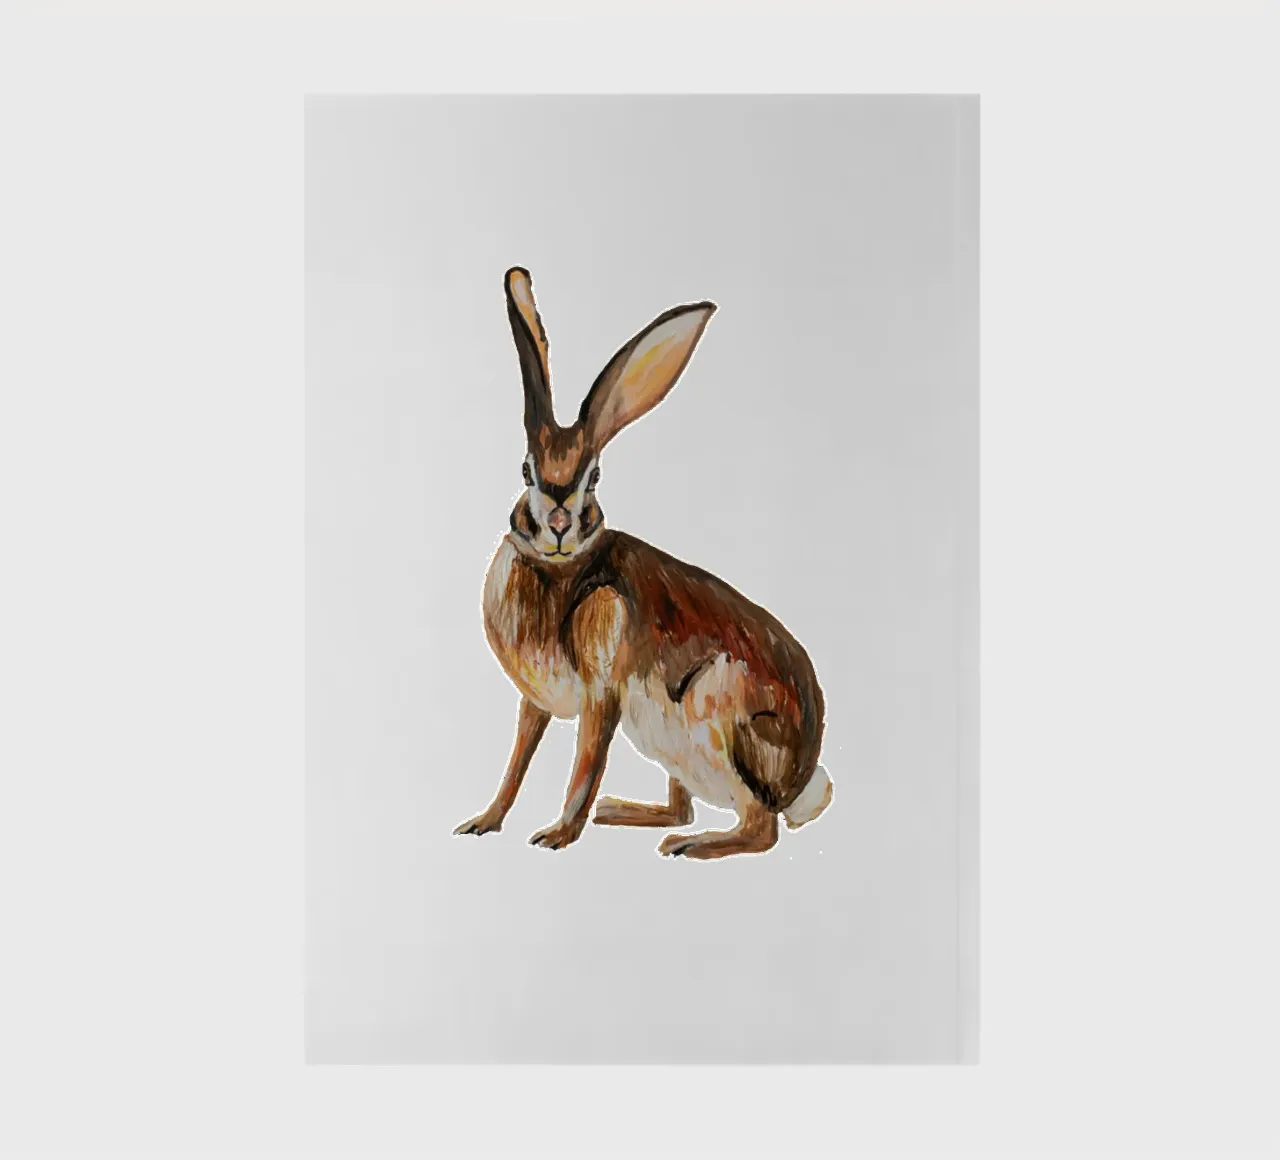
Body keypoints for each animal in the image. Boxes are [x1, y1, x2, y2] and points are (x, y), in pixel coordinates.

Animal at [454, 267, 832, 859]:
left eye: (593, 478)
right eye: (526, 471)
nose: (558, 522)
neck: (559, 570)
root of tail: (799, 781)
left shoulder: (602, 693)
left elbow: (585, 765)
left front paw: (557, 835)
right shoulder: (534, 702)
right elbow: (517, 761)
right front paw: (484, 821)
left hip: (715, 711)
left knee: (759, 827)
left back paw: (692, 845)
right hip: (668, 743)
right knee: (686, 804)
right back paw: (624, 812)